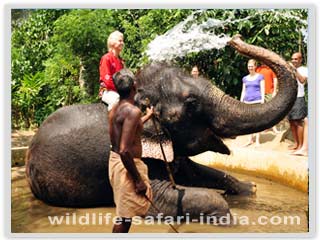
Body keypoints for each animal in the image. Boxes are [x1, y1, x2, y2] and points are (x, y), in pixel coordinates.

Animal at [25, 35, 298, 221]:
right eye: (192, 103)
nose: (235, 39)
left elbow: (200, 172)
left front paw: (250, 188)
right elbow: (163, 196)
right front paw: (227, 216)